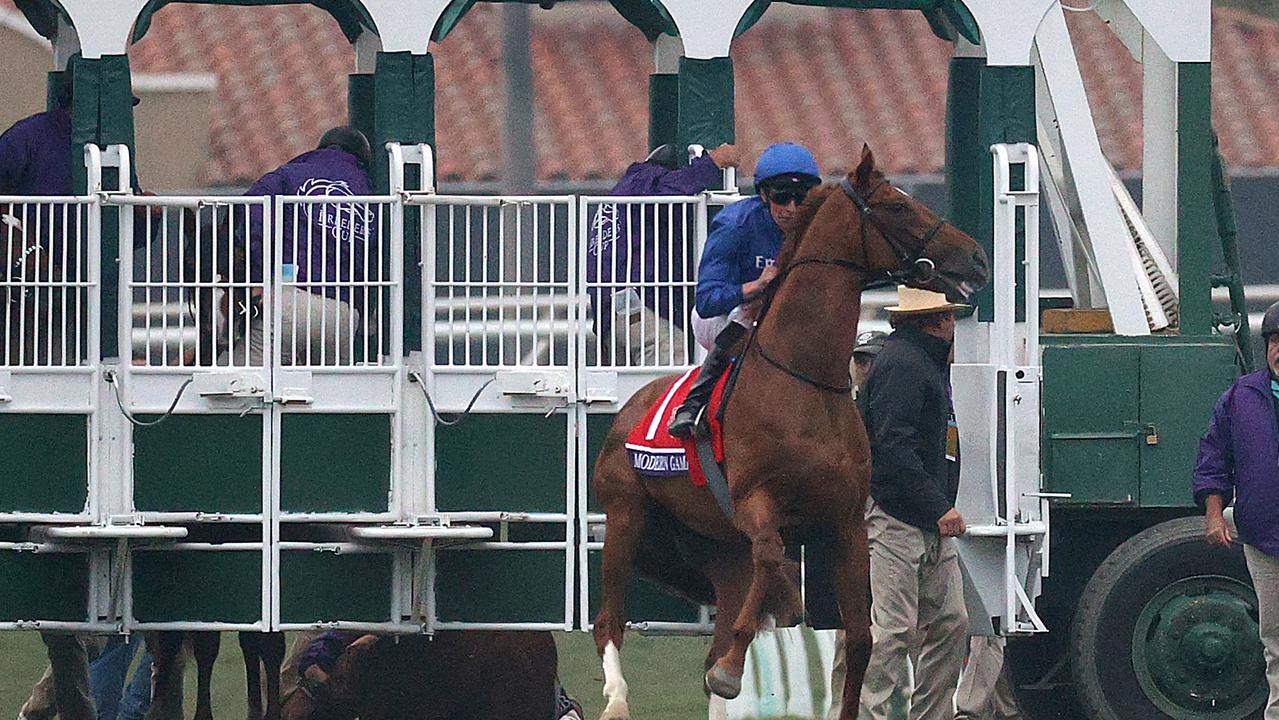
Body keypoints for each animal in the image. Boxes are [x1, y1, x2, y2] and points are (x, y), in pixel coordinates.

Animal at [588, 146, 987, 720]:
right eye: (896, 205)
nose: (976, 256)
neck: (806, 381)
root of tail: (628, 410)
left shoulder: (845, 522)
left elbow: (860, 639)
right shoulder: (756, 503)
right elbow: (774, 556)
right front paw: (737, 666)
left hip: (719, 549)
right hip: (626, 517)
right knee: (609, 623)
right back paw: (620, 696)